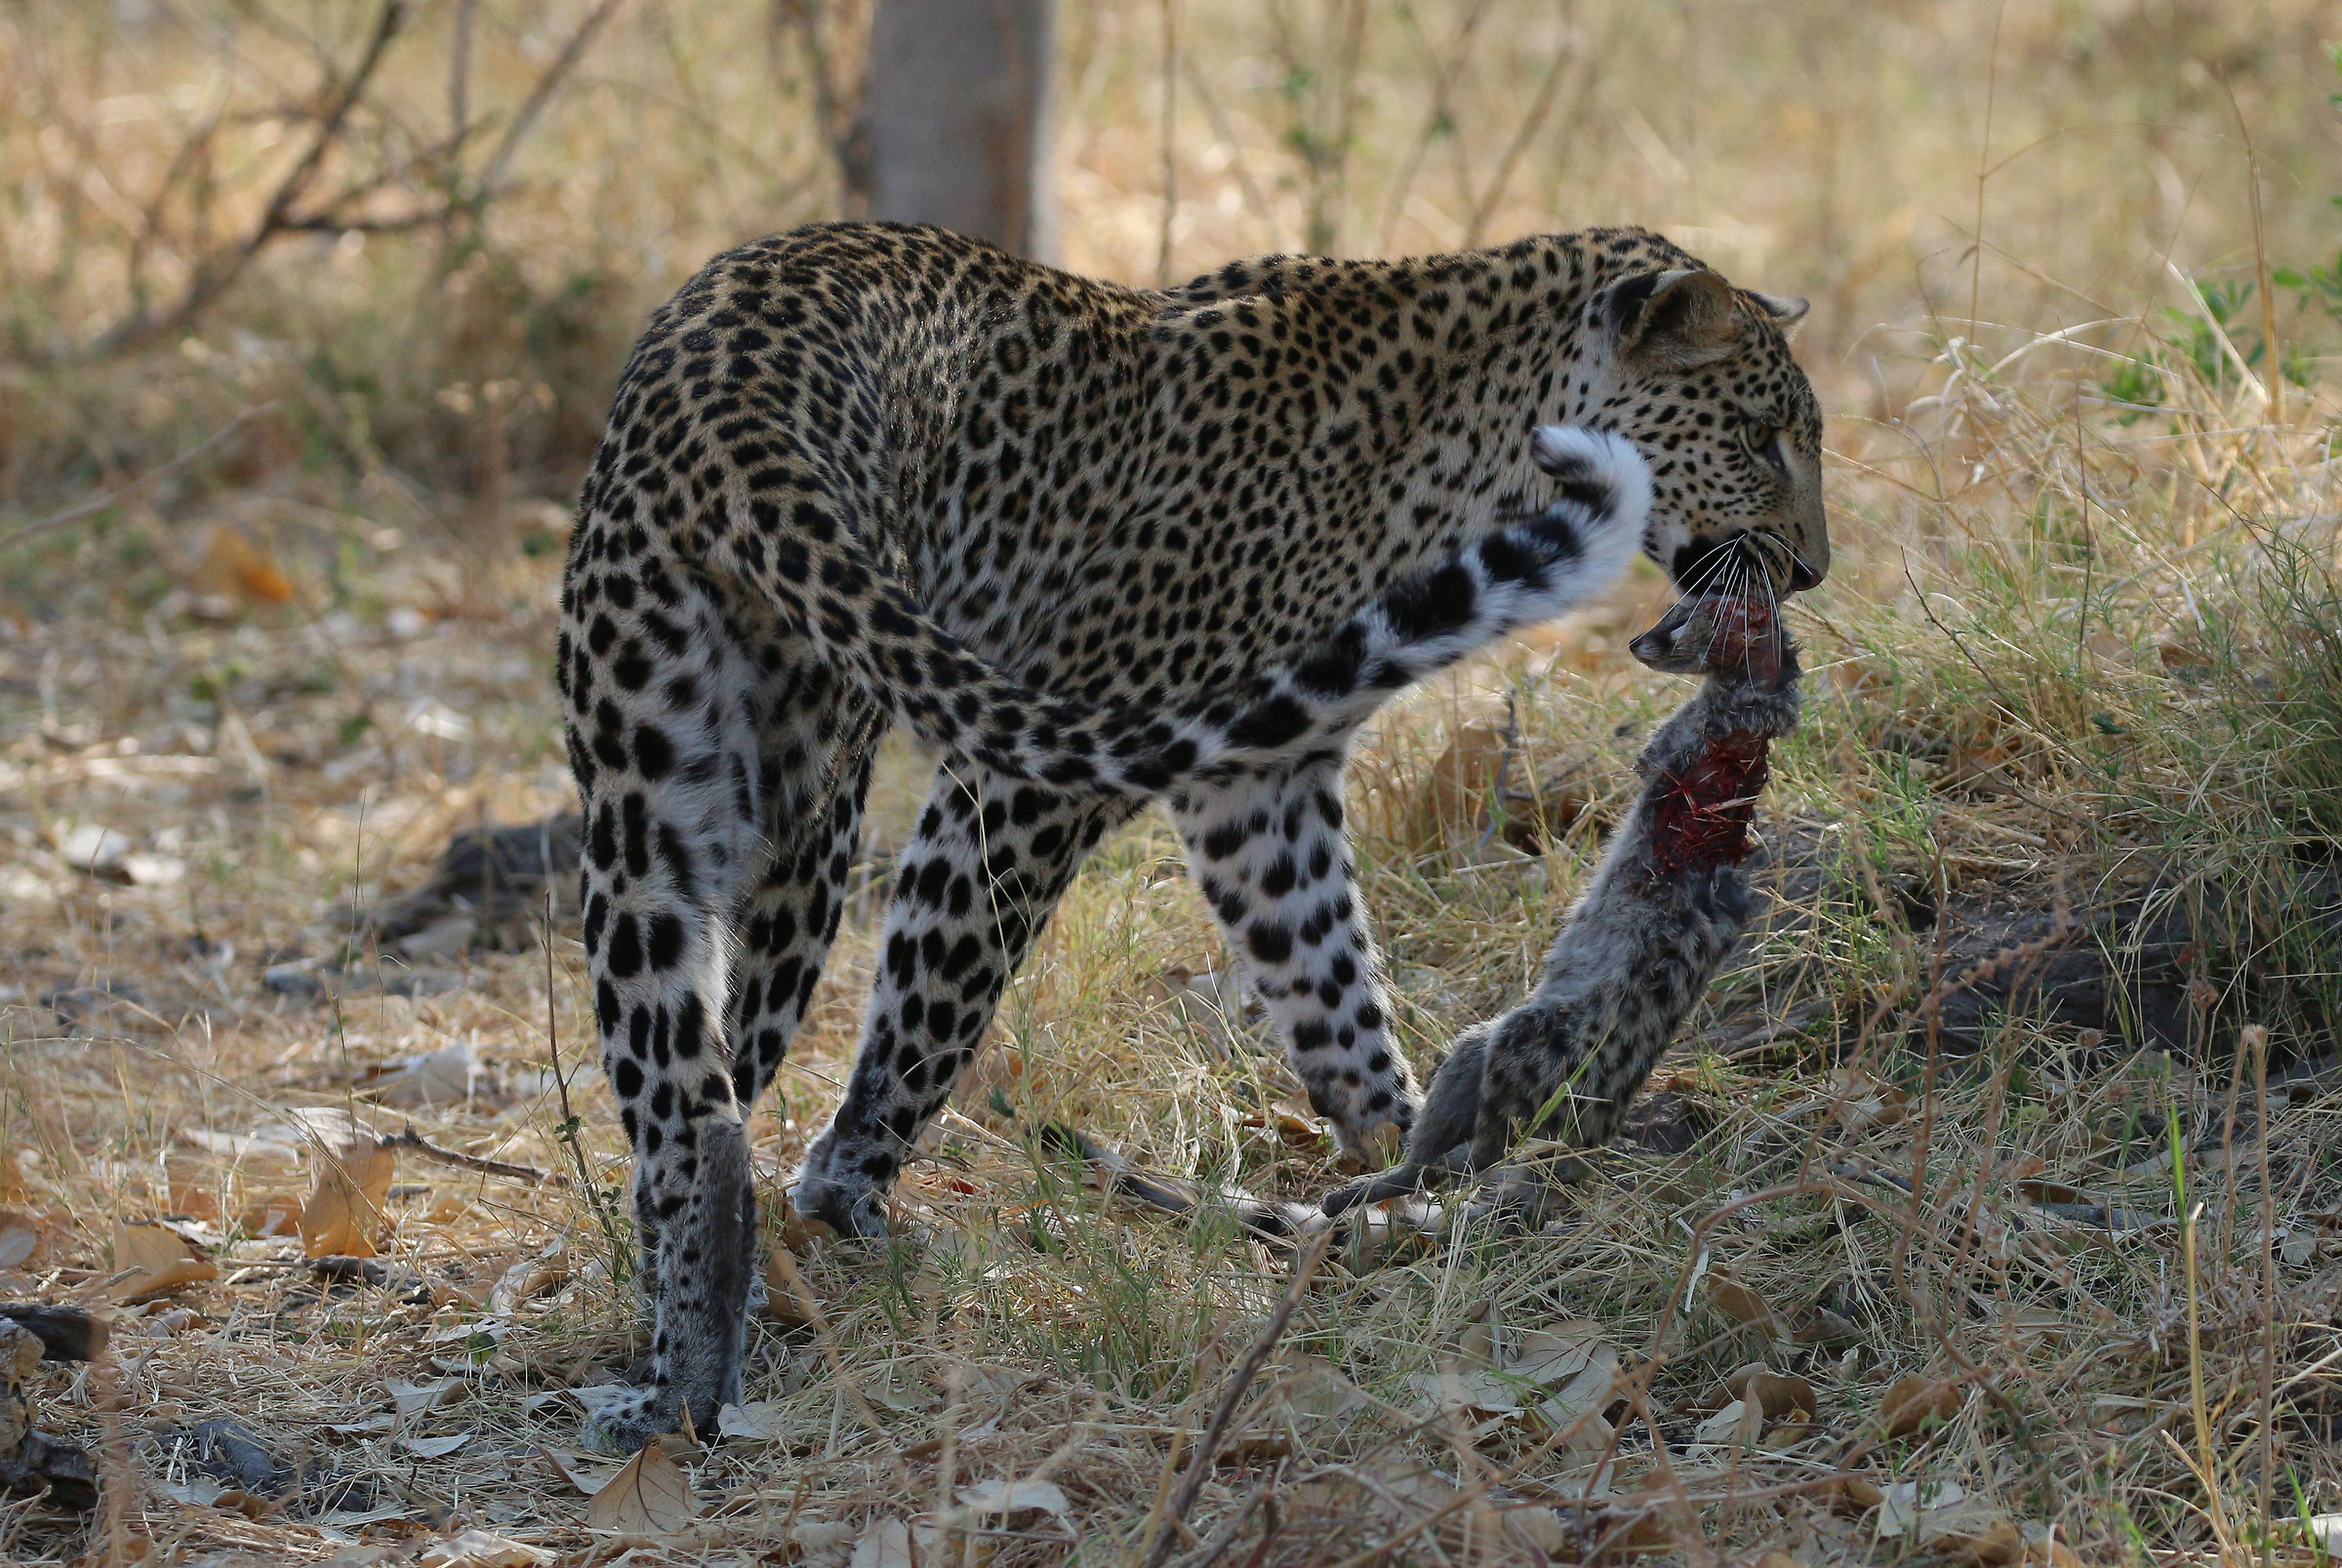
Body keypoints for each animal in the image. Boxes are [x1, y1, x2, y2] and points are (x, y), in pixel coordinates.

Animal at [554, 219, 1828, 1451]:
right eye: (1763, 436)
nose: (1814, 569)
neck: (1473, 446)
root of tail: (735, 407)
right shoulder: (1035, 773)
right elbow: (928, 1006)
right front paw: (848, 1197)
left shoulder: (1258, 786)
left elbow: (1334, 990)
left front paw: (1412, 1160)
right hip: (814, 786)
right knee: (760, 1047)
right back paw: (718, 1331)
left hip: (667, 782)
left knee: (692, 1094)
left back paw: (675, 1374)